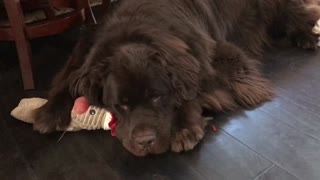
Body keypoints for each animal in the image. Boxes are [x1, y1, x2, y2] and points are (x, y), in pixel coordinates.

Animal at [33, 0, 318, 156]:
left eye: (158, 97)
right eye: (120, 105)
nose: (144, 141)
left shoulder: (221, 57)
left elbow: (195, 90)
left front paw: (184, 128)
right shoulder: (87, 49)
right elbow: (67, 79)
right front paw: (49, 112)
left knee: (296, 16)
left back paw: (308, 37)